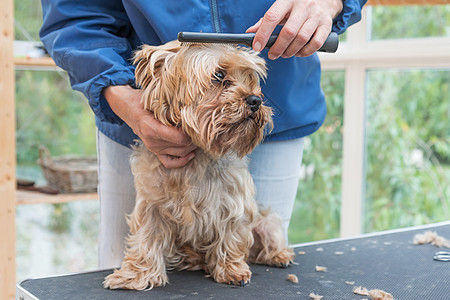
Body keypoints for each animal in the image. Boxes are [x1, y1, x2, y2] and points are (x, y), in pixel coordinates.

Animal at [104, 41, 296, 290]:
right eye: (219, 75)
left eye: (249, 78)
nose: (256, 100)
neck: (199, 152)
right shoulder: (151, 204)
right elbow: (145, 237)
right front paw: (135, 275)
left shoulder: (233, 201)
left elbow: (231, 233)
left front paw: (232, 270)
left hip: (268, 220)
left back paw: (278, 255)